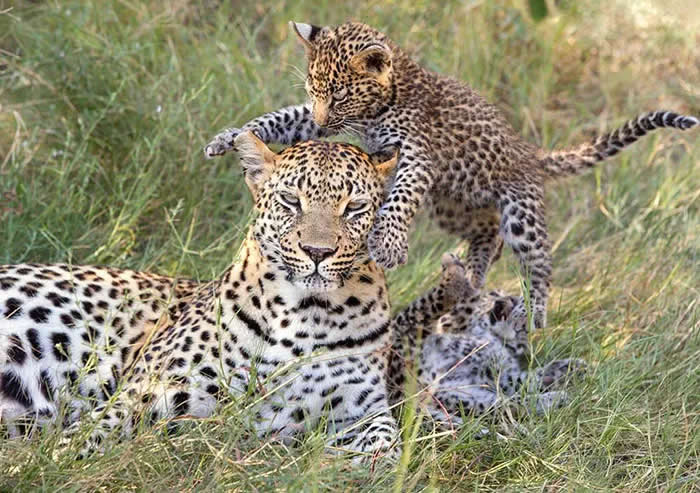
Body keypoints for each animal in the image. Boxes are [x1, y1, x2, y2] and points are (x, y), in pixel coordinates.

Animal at [2, 134, 404, 462]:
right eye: (291, 201)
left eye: (355, 208)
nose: (318, 252)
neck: (308, 315)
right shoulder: (151, 393)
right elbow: (89, 437)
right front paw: (52, 464)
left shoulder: (360, 411)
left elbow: (387, 447)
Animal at [203, 20, 699, 331]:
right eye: (314, 89)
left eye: (341, 94)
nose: (326, 119)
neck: (390, 95)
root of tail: (529, 153)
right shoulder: (320, 122)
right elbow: (281, 118)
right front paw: (230, 137)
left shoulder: (417, 156)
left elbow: (401, 197)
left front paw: (388, 245)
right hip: (454, 205)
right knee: (487, 237)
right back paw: (472, 280)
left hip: (519, 212)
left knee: (538, 262)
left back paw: (536, 316)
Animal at [388, 252, 587, 427]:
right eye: (494, 294)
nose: (510, 299)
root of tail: (400, 399)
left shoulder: (500, 376)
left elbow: (527, 378)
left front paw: (570, 367)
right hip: (406, 333)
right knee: (431, 304)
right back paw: (453, 265)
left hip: (469, 399)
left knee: (510, 406)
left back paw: (555, 398)